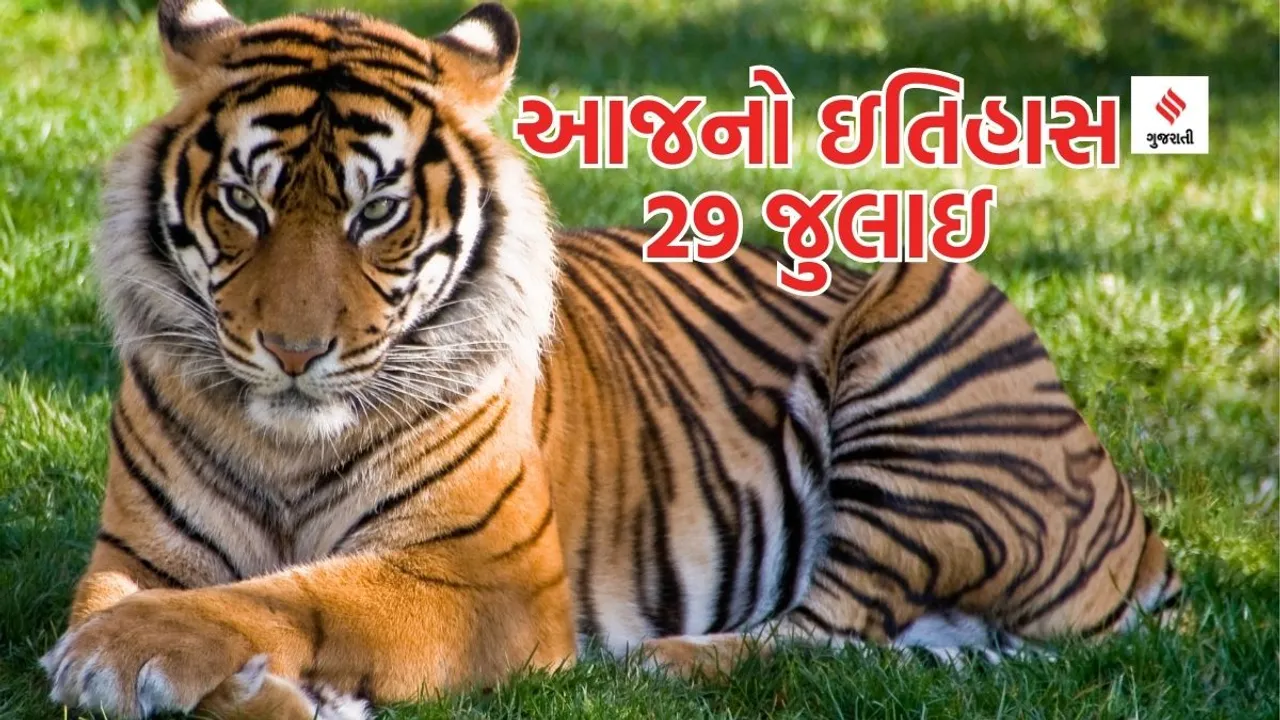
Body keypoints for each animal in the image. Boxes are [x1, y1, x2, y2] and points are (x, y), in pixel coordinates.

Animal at [39, 1, 1183, 718]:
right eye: (245, 201)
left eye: (377, 213)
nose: (291, 352)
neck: (287, 445)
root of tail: (1139, 534)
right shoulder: (136, 552)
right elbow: (187, 601)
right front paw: (247, 688)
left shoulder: (486, 576)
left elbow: (297, 595)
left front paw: (128, 658)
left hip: (920, 343)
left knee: (831, 628)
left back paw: (655, 664)